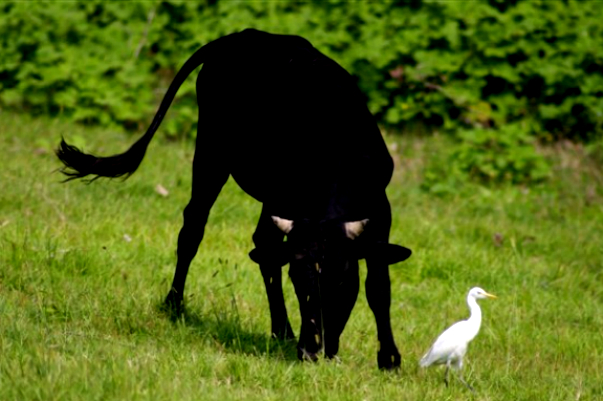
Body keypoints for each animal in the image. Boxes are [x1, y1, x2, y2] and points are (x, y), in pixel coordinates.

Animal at [56, 28, 412, 368]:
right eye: (298, 280)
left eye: (342, 281)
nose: (311, 351)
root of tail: (243, 35)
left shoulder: (380, 211)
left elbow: (378, 285)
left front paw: (389, 359)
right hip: (211, 151)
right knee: (195, 227)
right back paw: (176, 304)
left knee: (263, 245)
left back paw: (281, 330)